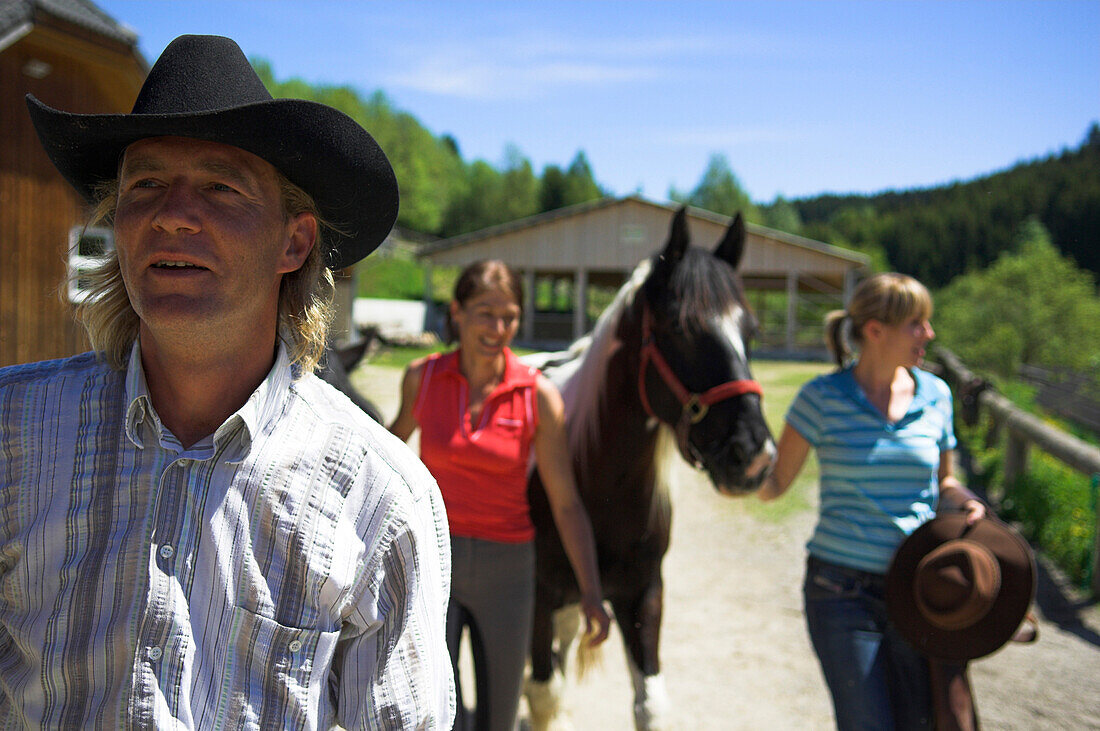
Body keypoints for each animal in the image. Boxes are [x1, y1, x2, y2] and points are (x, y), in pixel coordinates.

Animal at [521, 207, 774, 725]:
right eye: (678, 327)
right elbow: (543, 693)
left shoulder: (643, 595)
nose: (754, 456)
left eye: (751, 331)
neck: (595, 482)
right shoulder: (537, 596)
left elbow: (650, 704)